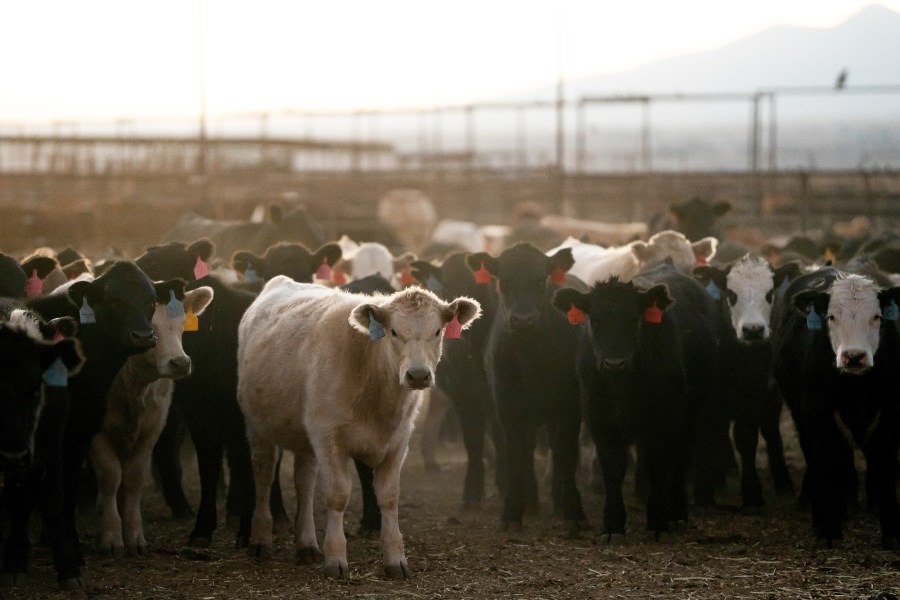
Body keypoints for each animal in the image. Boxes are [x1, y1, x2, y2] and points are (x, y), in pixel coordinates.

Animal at [89, 280, 214, 557]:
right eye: (150, 329)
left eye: (182, 325)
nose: (180, 363)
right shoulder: (97, 433)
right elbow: (110, 476)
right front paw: (111, 535)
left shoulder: (152, 429)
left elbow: (134, 478)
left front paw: (135, 535)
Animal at [237, 279, 479, 579]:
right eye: (393, 332)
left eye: (437, 331)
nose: (418, 375)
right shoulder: (327, 434)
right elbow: (338, 495)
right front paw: (336, 558)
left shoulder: (398, 441)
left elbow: (389, 497)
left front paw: (395, 558)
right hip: (258, 426)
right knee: (264, 475)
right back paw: (260, 540)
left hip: (306, 437)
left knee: (304, 481)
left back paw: (306, 544)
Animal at [466, 243, 587, 531]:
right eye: (504, 281)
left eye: (540, 280)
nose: (522, 319)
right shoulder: (508, 408)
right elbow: (518, 454)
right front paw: (512, 513)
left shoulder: (569, 407)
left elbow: (565, 452)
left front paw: (574, 510)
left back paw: (557, 500)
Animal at [692, 255, 801, 508]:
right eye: (731, 294)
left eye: (770, 293)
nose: (753, 330)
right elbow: (705, 435)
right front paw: (703, 492)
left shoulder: (753, 393)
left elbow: (747, 438)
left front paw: (752, 494)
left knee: (770, 432)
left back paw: (783, 482)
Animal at [772, 267, 900, 548]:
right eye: (831, 317)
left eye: (877, 317)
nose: (854, 356)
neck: (856, 388)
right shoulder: (818, 415)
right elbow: (827, 466)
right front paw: (829, 530)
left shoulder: (888, 416)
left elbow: (885, 469)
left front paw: (891, 535)